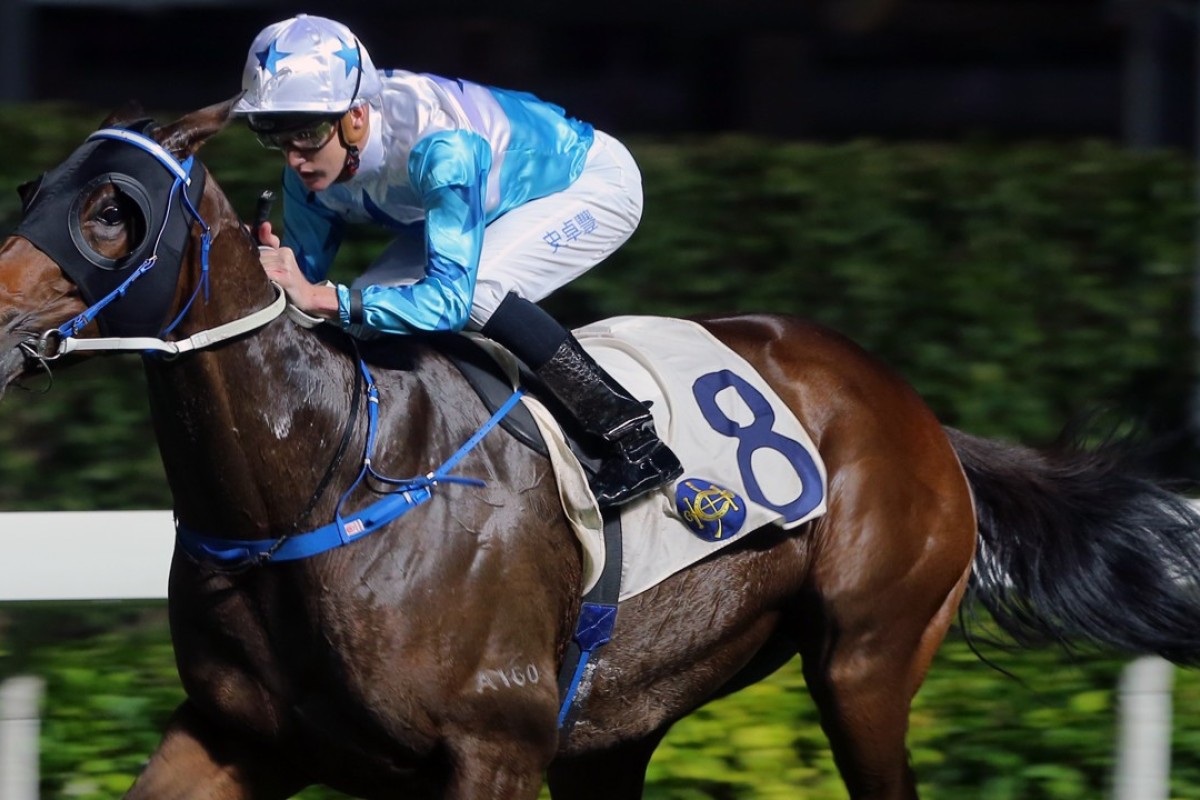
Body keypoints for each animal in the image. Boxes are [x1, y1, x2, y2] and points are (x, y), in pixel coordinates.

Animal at [2, 100, 1200, 800]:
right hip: (629, 717)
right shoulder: (235, 732)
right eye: (32, 190)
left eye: (111, 209)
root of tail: (920, 415)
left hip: (866, 657)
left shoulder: (493, 744)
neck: (316, 481)